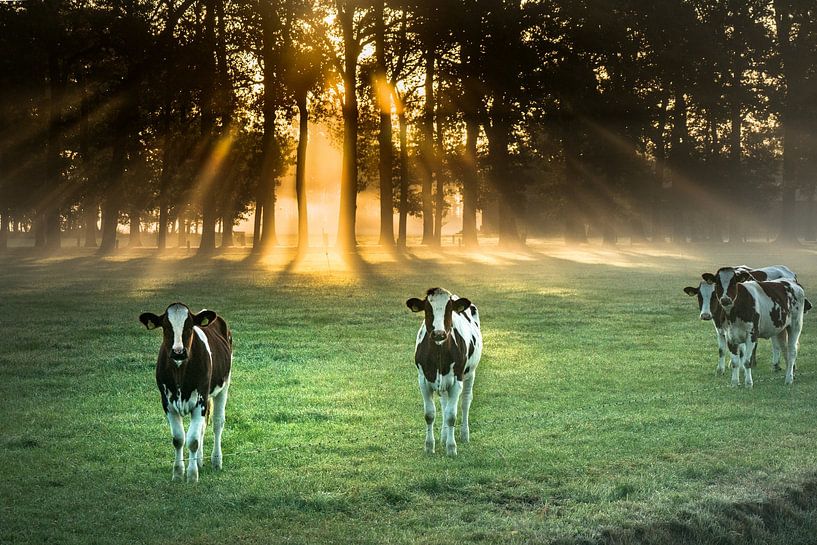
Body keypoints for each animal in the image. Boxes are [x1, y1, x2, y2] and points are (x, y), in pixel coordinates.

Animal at [139, 303, 232, 482]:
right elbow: (179, 439)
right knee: (203, 426)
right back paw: (200, 461)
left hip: (223, 386)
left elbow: (193, 440)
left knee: (217, 423)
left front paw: (192, 475)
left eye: (189, 326)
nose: (178, 351)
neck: (180, 373)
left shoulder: (200, 401)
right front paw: (178, 473)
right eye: (166, 327)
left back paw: (216, 461)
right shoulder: (167, 403)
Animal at [406, 288, 482, 456]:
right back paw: (444, 435)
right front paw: (429, 446)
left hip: (470, 374)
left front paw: (451, 448)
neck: (439, 352)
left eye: (449, 310)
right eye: (427, 309)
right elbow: (429, 414)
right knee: (444, 403)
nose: (439, 333)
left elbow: (451, 415)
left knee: (466, 402)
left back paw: (464, 435)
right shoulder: (423, 380)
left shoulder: (456, 381)